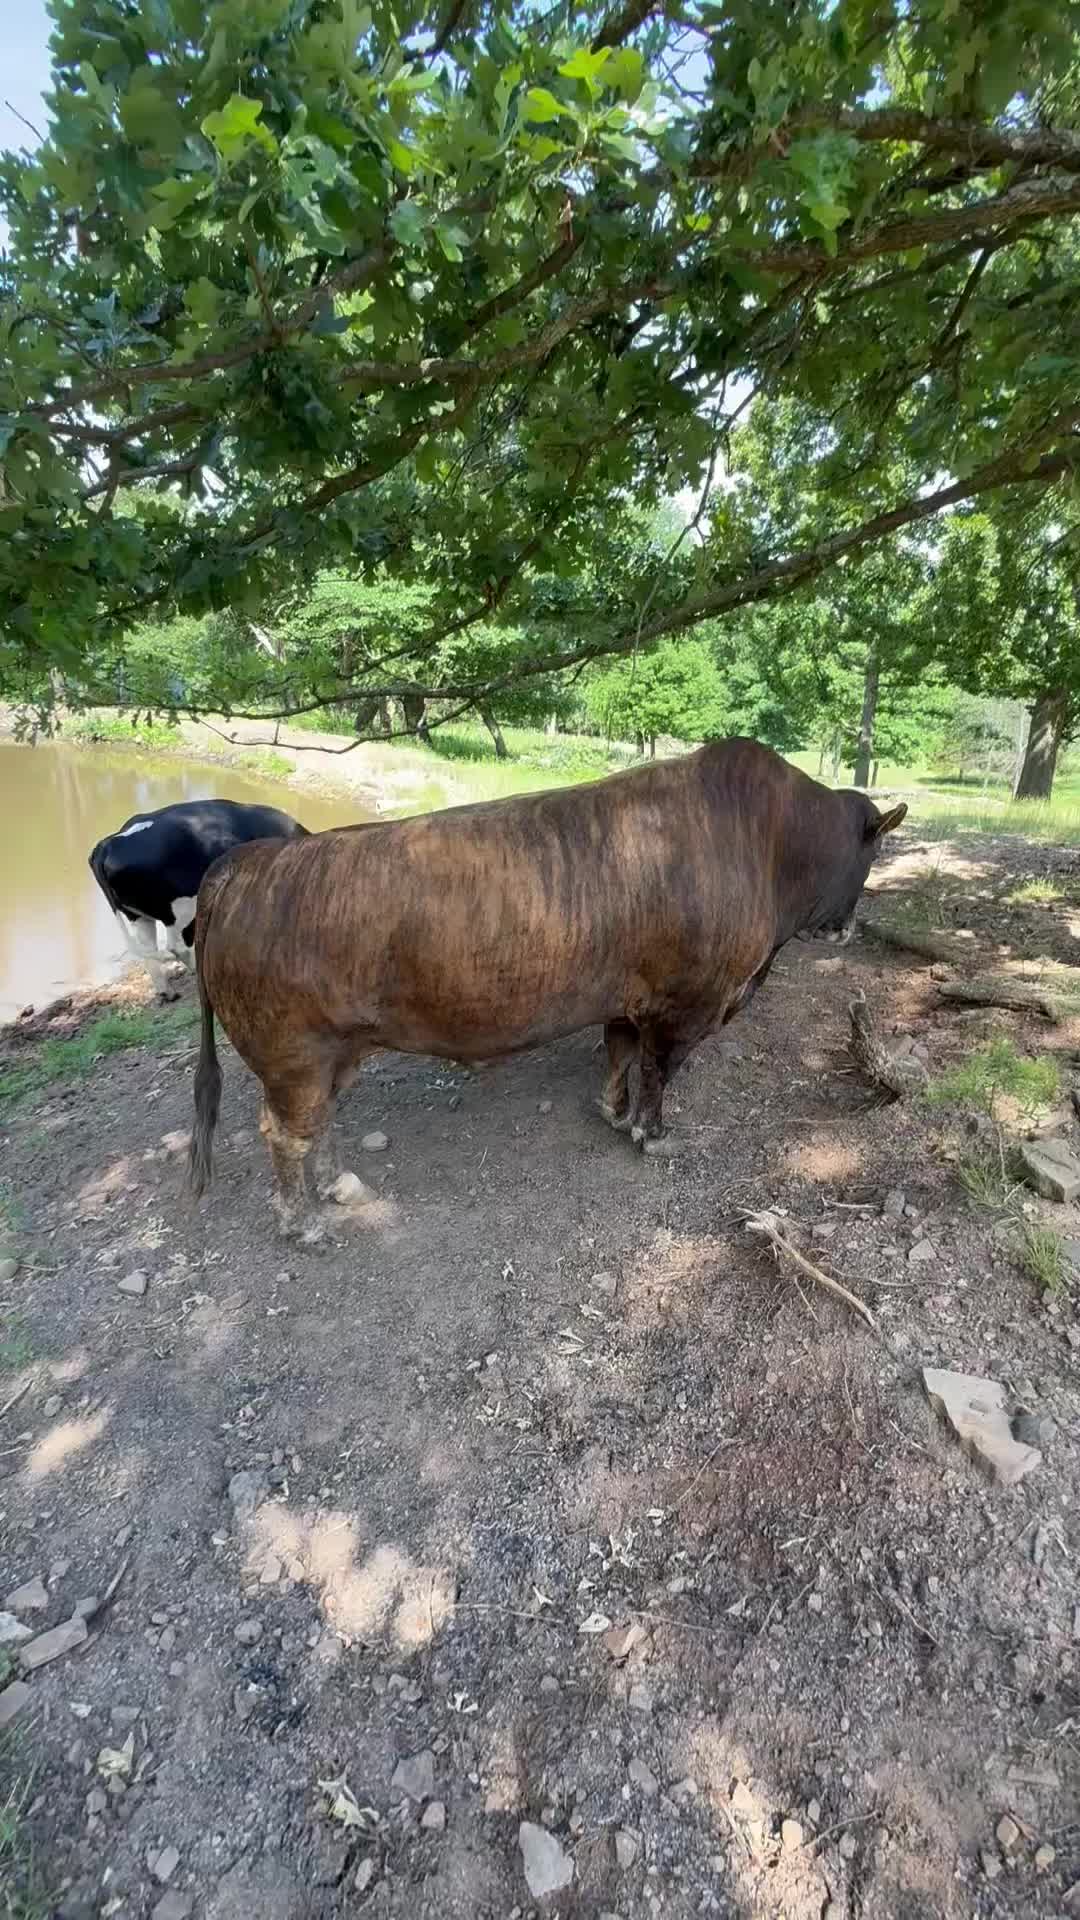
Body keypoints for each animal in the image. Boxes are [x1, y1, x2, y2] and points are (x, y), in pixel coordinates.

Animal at [89, 798, 309, 1001]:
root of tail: (108, 844)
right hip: (181, 909)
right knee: (177, 947)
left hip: (138, 915)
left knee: (149, 949)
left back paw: (168, 993)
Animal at [188, 739, 906, 1241]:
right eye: (871, 854)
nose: (848, 925)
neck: (770, 840)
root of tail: (244, 863)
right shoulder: (686, 1004)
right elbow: (657, 1070)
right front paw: (653, 1133)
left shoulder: (628, 1000)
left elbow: (620, 1053)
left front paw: (614, 1111)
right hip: (292, 1056)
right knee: (285, 1134)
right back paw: (303, 1221)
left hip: (335, 1052)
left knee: (320, 1123)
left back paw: (340, 1185)